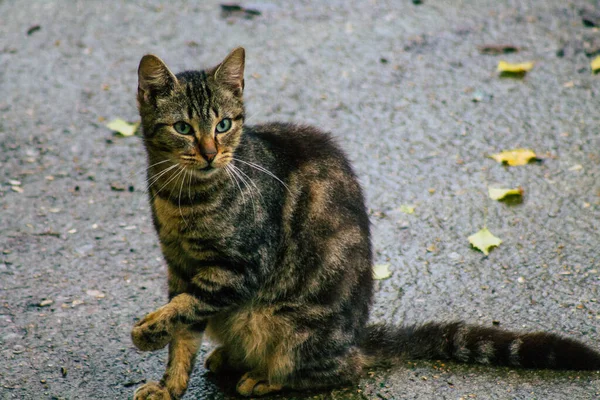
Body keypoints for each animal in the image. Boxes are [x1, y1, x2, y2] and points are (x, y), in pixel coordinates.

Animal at [130, 48, 600, 398]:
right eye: (183, 127)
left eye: (223, 125)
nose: (210, 153)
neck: (182, 198)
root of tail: (356, 338)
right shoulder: (180, 266)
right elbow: (184, 333)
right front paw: (169, 385)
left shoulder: (236, 267)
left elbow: (185, 307)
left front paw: (149, 332)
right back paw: (228, 358)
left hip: (284, 323)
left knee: (337, 369)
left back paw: (263, 377)